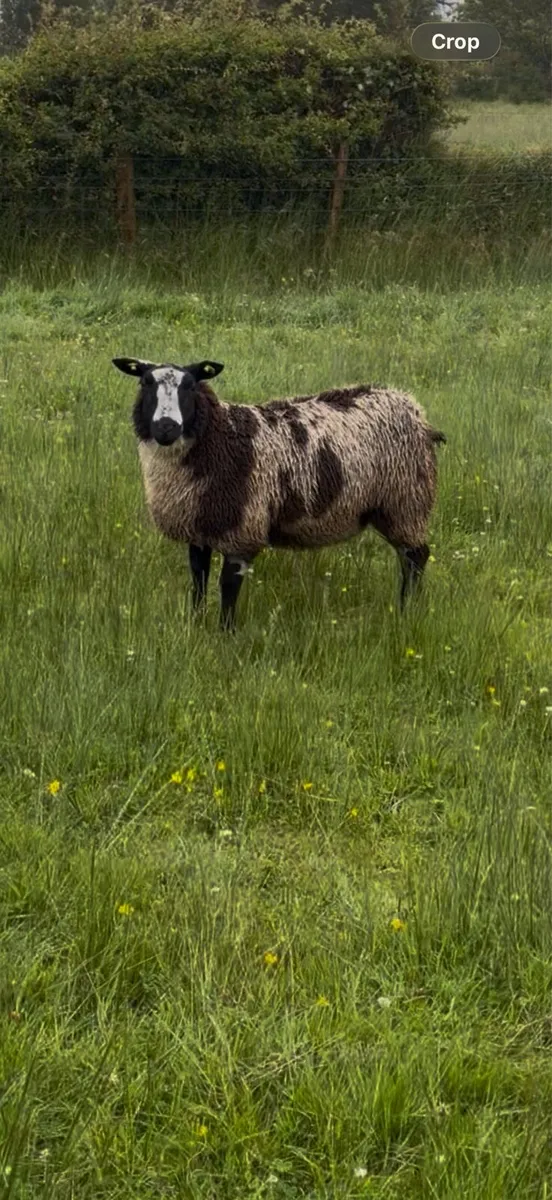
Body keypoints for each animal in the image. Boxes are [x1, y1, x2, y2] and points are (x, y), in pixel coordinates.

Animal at [112, 356, 446, 629]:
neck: (219, 438)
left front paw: (224, 635)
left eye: (191, 385)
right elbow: (199, 579)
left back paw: (406, 611)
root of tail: (415, 410)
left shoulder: (243, 529)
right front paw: (195, 624)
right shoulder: (199, 528)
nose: (166, 427)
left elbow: (228, 587)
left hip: (406, 499)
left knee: (416, 557)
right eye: (145, 382)